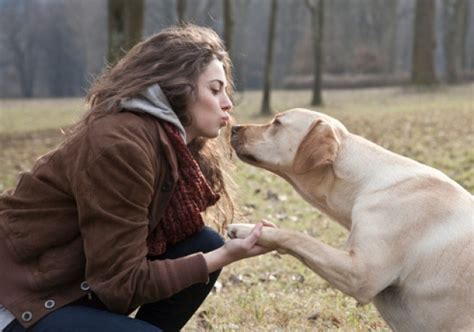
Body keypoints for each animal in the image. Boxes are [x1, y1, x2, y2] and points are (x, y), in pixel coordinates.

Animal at [228, 108, 472, 330]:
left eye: (277, 123)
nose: (233, 127)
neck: (364, 182)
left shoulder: (360, 274)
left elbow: (297, 237)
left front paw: (247, 229)